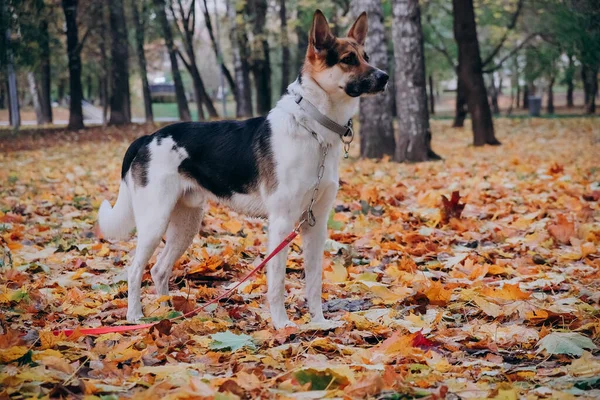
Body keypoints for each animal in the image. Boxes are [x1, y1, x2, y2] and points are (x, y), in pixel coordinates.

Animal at [98, 9, 390, 330]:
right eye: (348, 59)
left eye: (366, 56)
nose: (385, 77)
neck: (314, 128)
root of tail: (147, 137)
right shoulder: (282, 223)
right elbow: (277, 283)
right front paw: (281, 325)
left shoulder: (315, 224)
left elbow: (314, 282)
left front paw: (319, 323)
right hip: (154, 221)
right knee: (135, 269)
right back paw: (135, 316)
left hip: (185, 224)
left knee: (159, 270)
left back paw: (168, 313)